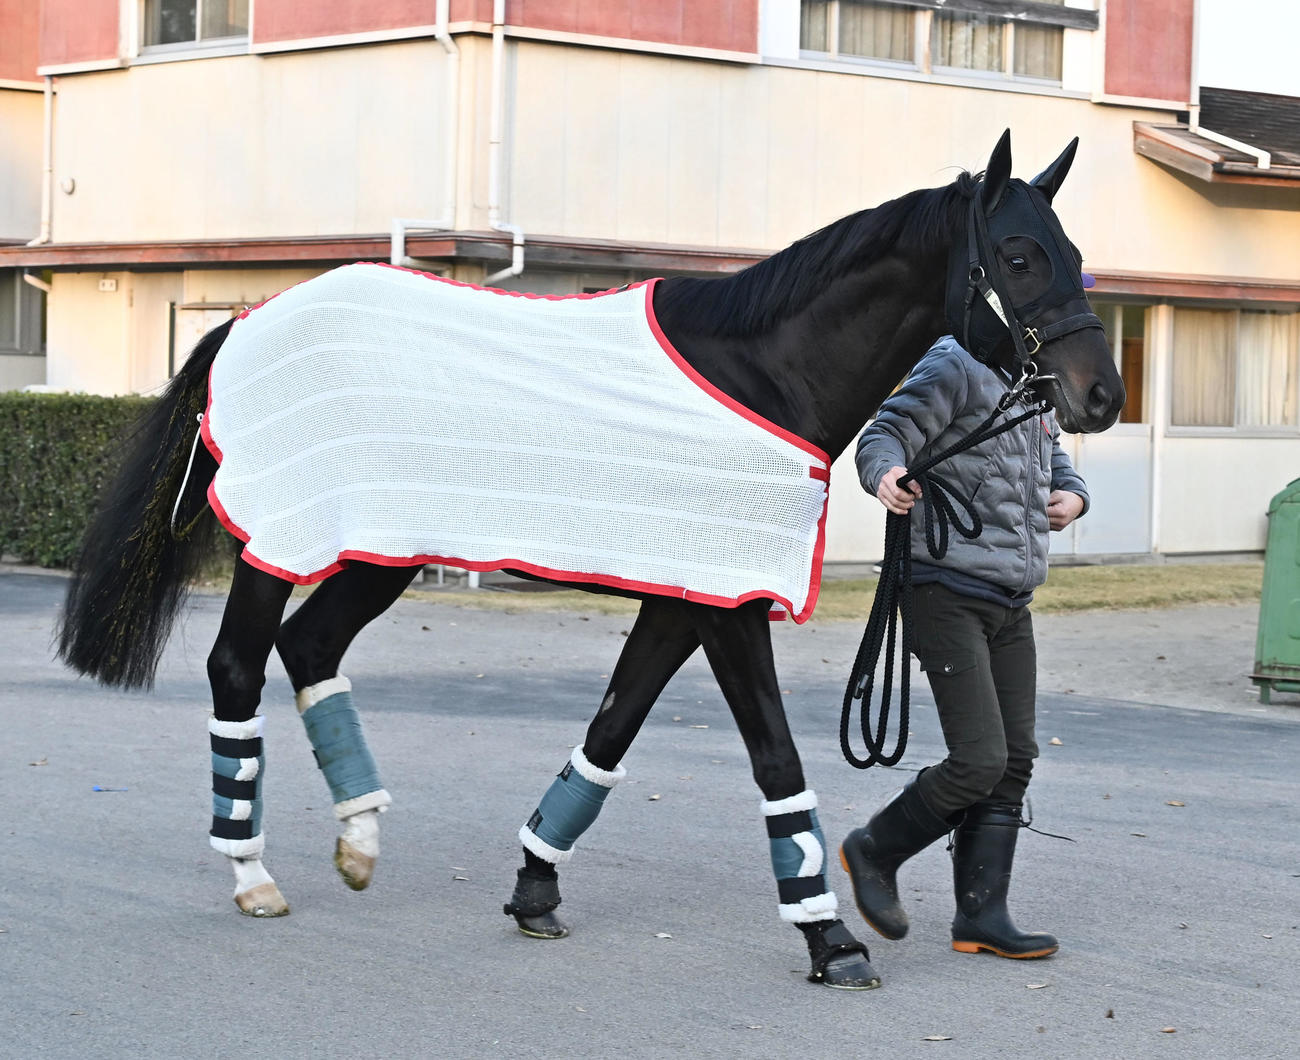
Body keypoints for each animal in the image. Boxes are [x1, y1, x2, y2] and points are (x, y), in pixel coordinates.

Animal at [57, 131, 1123, 991]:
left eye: (1075, 255)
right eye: (1019, 255)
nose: (1101, 396)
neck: (763, 371)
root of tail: (247, 322)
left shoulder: (685, 597)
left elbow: (611, 731)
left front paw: (534, 890)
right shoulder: (729, 606)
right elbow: (774, 758)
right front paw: (833, 940)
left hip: (383, 548)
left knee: (311, 648)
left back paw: (359, 840)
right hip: (283, 540)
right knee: (239, 662)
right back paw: (253, 873)